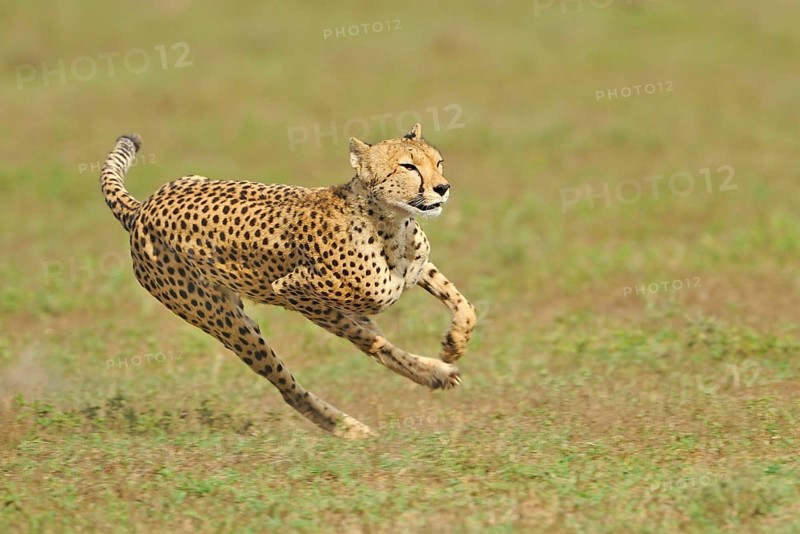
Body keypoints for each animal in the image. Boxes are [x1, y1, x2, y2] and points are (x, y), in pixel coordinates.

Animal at [99, 123, 477, 438]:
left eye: (438, 162)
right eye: (408, 167)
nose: (443, 188)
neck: (390, 221)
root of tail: (142, 207)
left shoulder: (415, 270)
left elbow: (463, 304)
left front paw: (453, 345)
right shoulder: (293, 291)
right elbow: (369, 341)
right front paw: (433, 363)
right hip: (228, 323)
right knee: (285, 384)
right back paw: (347, 426)